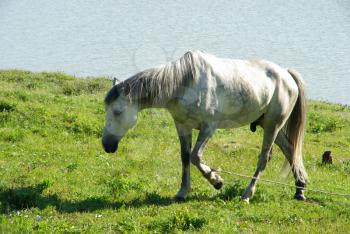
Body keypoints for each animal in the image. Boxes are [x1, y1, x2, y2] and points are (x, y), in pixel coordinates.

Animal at [100, 49, 306, 203]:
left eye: (117, 111)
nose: (107, 145)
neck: (185, 82)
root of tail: (287, 74)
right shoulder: (182, 126)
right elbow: (185, 157)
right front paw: (182, 192)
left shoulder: (208, 127)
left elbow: (195, 156)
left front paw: (216, 181)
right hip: (268, 124)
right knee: (290, 149)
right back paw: (300, 189)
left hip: (273, 124)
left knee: (264, 158)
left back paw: (247, 194)